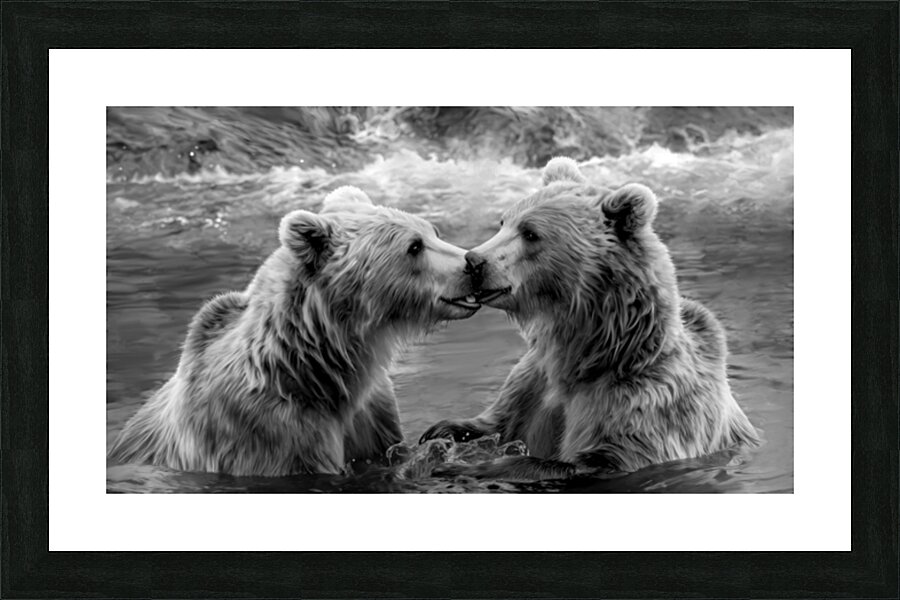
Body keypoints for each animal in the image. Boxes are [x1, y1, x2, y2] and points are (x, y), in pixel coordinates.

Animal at [420, 157, 759, 480]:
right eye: (503, 222)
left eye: (530, 233)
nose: (474, 260)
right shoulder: (532, 381)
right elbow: (498, 419)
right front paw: (439, 432)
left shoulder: (642, 401)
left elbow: (596, 460)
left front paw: (465, 468)